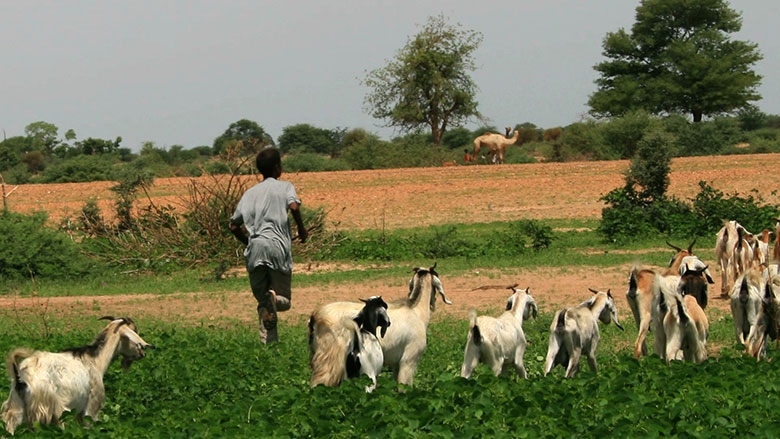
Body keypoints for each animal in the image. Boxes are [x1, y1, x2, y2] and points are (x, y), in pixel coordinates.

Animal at [1, 316, 154, 436]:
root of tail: (22, 377)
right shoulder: (92, 407)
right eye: (134, 331)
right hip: (51, 412)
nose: (142, 353)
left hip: (15, 408)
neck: (95, 360)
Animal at [310, 262, 450, 386]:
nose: (434, 302)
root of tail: (316, 316)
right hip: (332, 361)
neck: (416, 311)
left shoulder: (397, 364)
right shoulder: (409, 360)